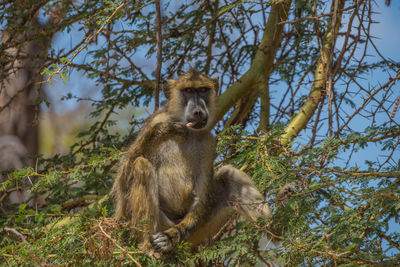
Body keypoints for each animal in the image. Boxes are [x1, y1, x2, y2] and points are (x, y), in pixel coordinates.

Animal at [111, 69, 280, 255]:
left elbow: (200, 199)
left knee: (229, 175)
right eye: (188, 91)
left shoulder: (208, 141)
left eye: (203, 90)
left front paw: (171, 237)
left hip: (194, 236)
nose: (198, 111)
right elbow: (121, 185)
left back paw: (277, 225)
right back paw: (145, 246)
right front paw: (163, 131)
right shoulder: (156, 120)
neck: (189, 132)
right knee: (140, 165)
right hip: (154, 223)